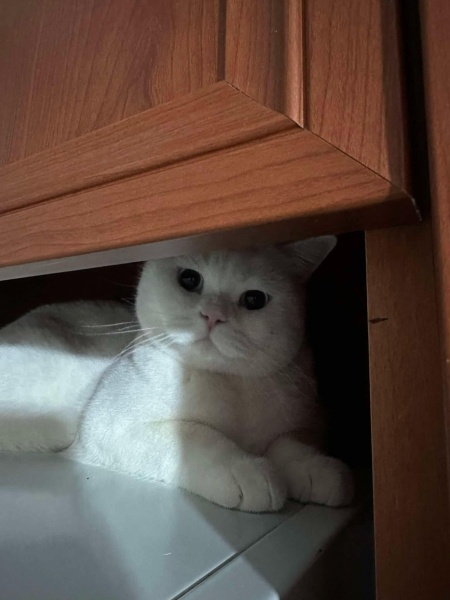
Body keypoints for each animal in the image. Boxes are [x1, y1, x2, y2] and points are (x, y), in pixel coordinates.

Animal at [0, 238, 354, 510]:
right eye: (189, 280)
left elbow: (289, 443)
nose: (214, 315)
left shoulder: (312, 420)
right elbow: (195, 435)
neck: (229, 387)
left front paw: (318, 469)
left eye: (254, 299)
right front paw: (246, 469)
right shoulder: (110, 424)